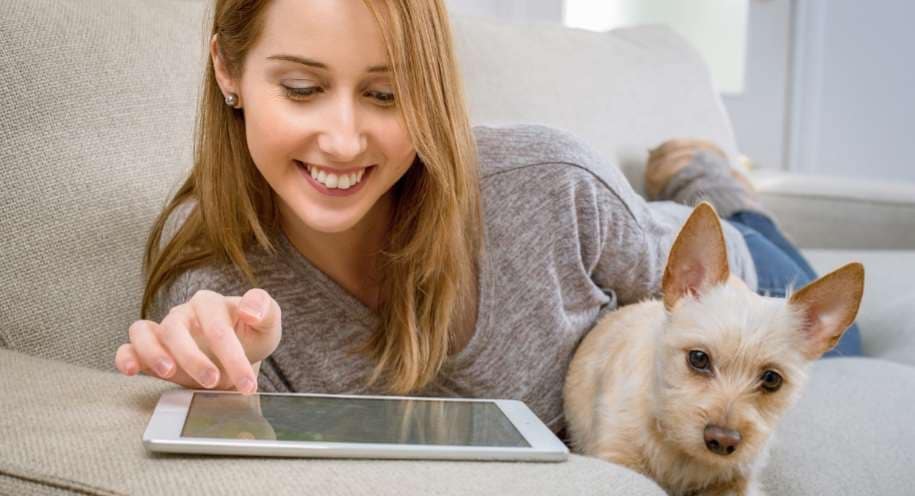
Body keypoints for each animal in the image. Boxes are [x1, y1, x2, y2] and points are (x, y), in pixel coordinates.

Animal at [564, 202, 864, 496]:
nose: (723, 441)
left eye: (771, 379)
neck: (681, 453)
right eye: (698, 358)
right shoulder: (617, 454)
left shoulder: (737, 482)